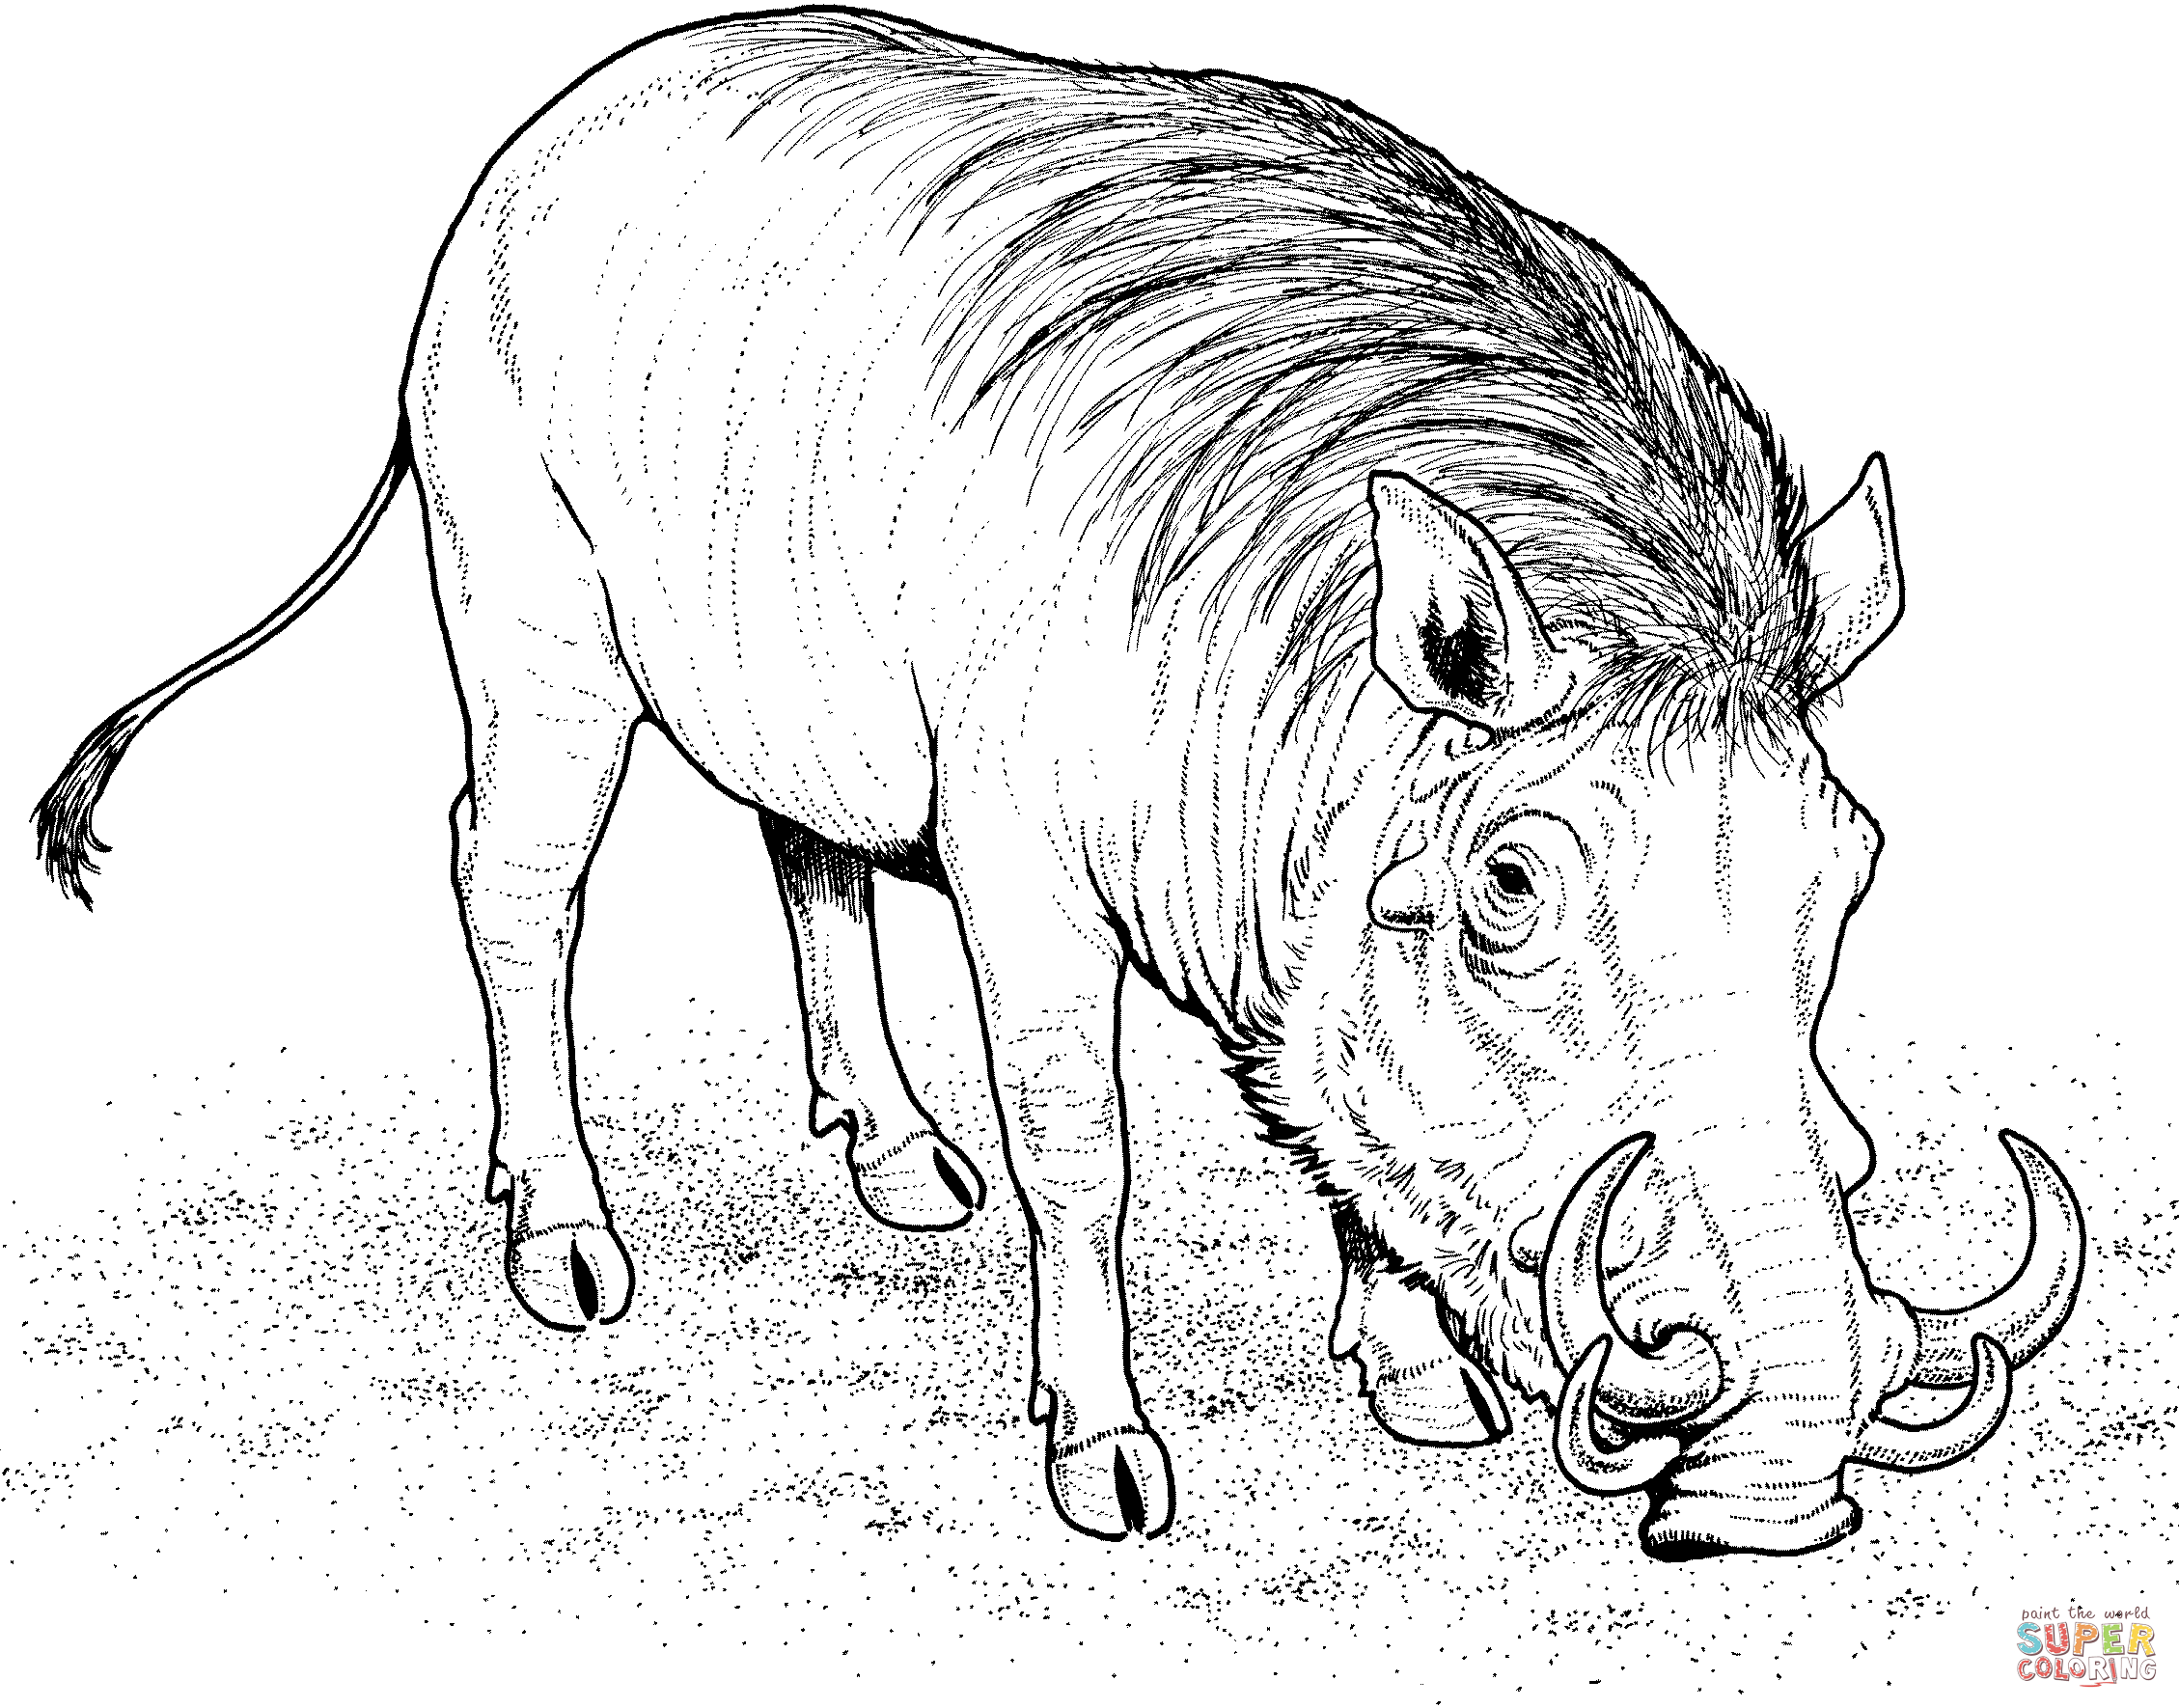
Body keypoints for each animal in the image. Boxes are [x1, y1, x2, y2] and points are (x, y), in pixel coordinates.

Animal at [35, 8, 2083, 1557]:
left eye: (1851, 863)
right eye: (1508, 883)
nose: (1772, 1511)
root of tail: (523, 153)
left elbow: (1328, 1116)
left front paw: (1421, 1397)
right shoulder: (1024, 868)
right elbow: (1081, 1150)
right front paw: (1105, 1475)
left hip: (798, 686)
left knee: (802, 853)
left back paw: (898, 1168)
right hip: (527, 604)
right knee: (511, 872)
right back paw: (568, 1248)